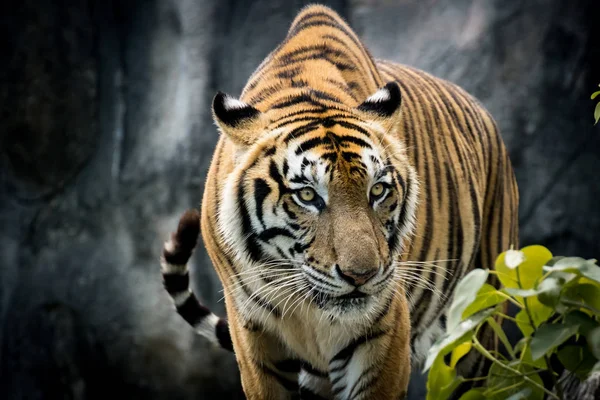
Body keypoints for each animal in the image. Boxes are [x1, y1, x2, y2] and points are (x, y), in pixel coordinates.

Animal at [161, 3, 520, 400]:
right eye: (307, 195)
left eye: (377, 191)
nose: (361, 276)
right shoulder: (252, 332)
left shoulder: (384, 329)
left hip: (479, 318)